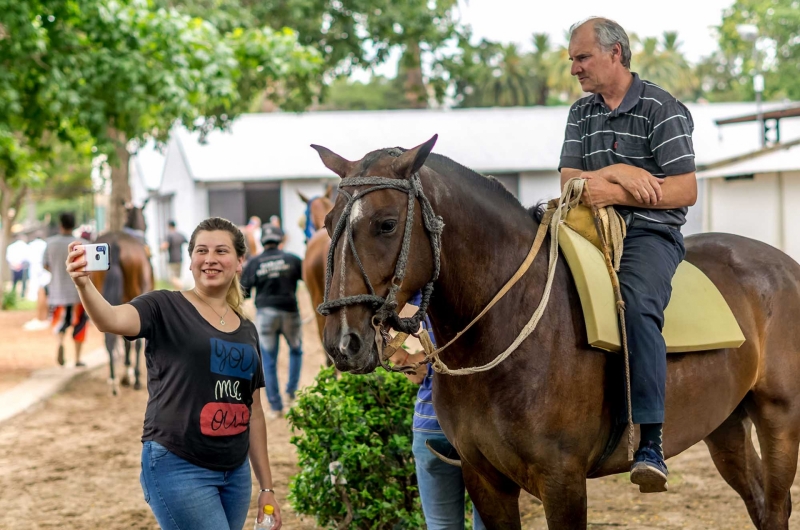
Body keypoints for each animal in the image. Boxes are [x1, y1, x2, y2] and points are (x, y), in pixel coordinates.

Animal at [91, 201, 154, 392]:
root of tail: (116, 243)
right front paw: (131, 374)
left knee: (108, 335)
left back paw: (113, 379)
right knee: (137, 341)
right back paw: (135, 378)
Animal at [310, 137, 800, 528]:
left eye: (386, 223)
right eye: (328, 222)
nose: (343, 342)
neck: (506, 325)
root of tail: (784, 265)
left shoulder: (562, 480)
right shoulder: (484, 479)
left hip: (779, 418)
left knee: (775, 508)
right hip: (726, 425)